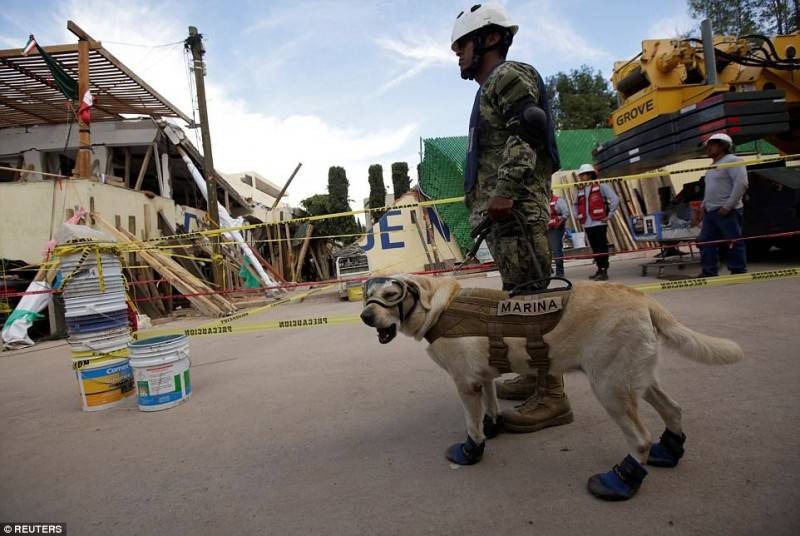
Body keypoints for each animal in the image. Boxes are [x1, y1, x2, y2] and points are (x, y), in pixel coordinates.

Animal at [358, 274, 744, 500]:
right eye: (367, 297)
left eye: (391, 294)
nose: (364, 316)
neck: (440, 307)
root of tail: (643, 298)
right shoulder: (483, 377)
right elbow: (491, 405)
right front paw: (493, 426)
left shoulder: (465, 383)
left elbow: (471, 425)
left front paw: (471, 451)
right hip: (636, 378)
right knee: (673, 409)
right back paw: (669, 450)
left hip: (610, 388)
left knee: (639, 439)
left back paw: (621, 481)